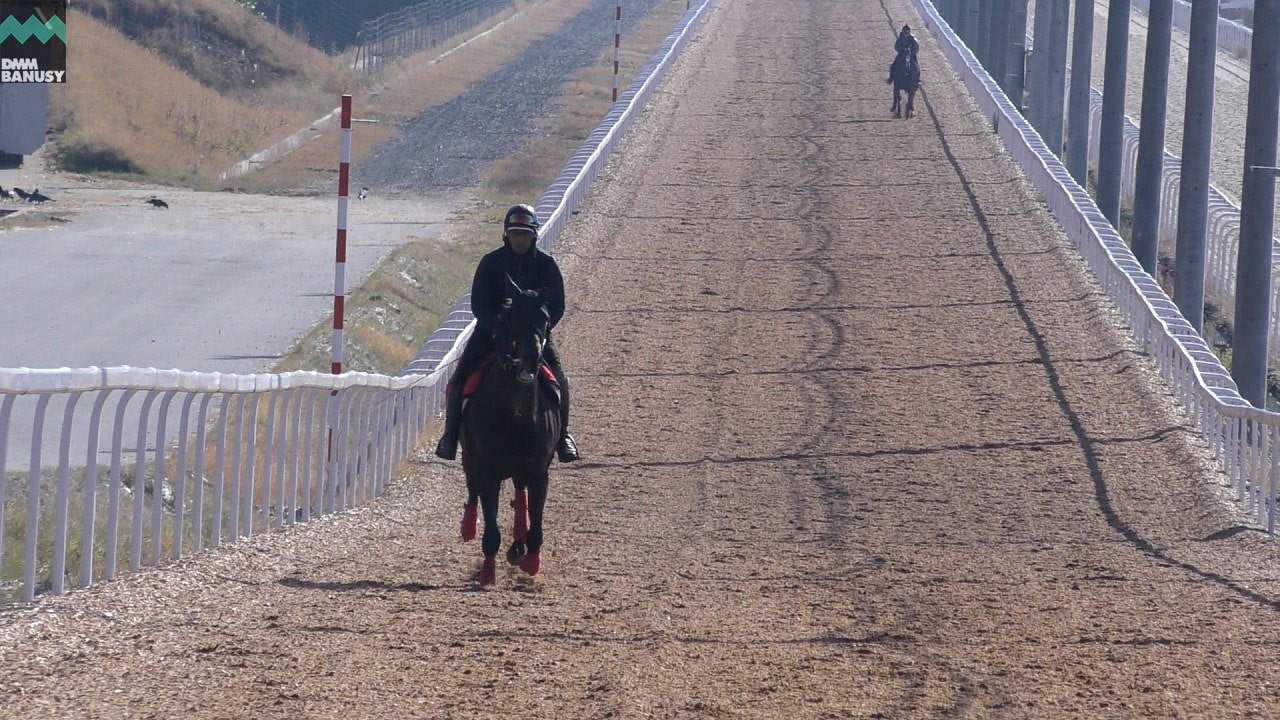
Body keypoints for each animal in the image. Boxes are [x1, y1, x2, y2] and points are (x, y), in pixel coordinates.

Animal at [460, 274, 560, 584]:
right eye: (513, 315)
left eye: (545, 316)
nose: (532, 355)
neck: (515, 415)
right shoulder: (488, 471)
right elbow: (491, 528)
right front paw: (488, 574)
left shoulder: (539, 471)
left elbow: (536, 523)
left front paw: (531, 560)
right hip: (469, 456)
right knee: (472, 490)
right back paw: (468, 526)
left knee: (519, 491)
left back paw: (518, 542)